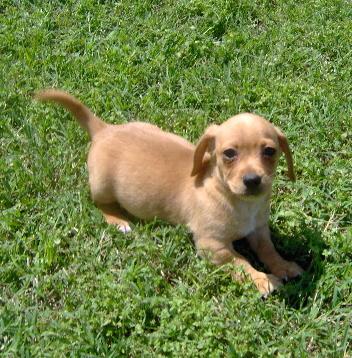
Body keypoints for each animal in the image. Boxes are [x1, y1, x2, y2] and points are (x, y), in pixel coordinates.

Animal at [37, 90, 304, 296]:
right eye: (229, 153)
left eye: (269, 151)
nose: (252, 180)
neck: (237, 201)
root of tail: (104, 129)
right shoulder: (212, 245)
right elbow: (240, 262)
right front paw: (262, 279)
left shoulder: (258, 230)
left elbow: (268, 250)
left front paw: (283, 266)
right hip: (102, 185)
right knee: (100, 203)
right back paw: (119, 221)